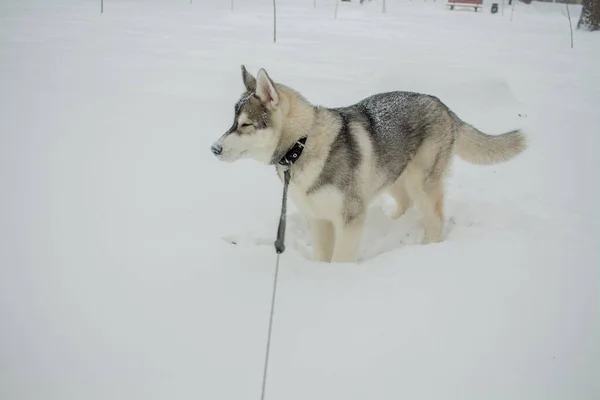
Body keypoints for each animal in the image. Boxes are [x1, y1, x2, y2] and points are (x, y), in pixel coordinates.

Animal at [210, 67, 524, 264]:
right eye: (232, 122)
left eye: (245, 125)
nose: (214, 148)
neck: (303, 143)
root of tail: (443, 105)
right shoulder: (318, 219)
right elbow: (322, 256)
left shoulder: (349, 219)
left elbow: (340, 259)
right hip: (391, 176)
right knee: (405, 203)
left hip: (419, 182)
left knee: (435, 218)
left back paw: (424, 250)